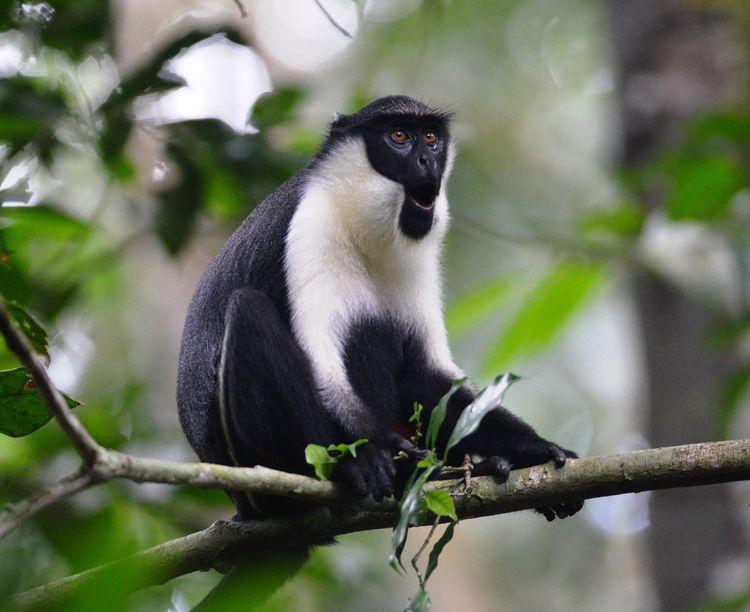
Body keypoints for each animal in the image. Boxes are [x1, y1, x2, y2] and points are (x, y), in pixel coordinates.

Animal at [175, 95, 580, 524]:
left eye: (431, 137)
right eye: (398, 136)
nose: (427, 161)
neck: (360, 219)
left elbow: (426, 373)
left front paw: (534, 449)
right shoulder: (312, 225)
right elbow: (323, 367)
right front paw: (368, 455)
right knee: (249, 310)